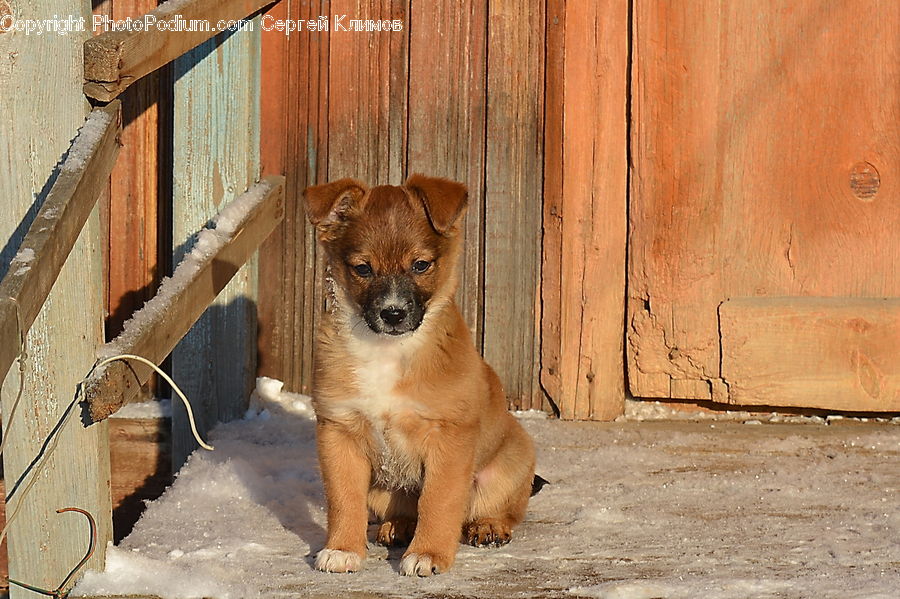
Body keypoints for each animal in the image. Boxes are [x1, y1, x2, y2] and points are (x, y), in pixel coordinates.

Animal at [306, 173, 536, 576]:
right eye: (363, 268)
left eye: (421, 265)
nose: (393, 313)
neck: (386, 351)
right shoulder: (339, 432)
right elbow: (343, 498)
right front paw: (342, 549)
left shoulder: (448, 437)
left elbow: (438, 501)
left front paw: (428, 554)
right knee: (400, 509)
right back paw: (397, 527)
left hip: (511, 462)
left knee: (498, 509)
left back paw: (488, 526)